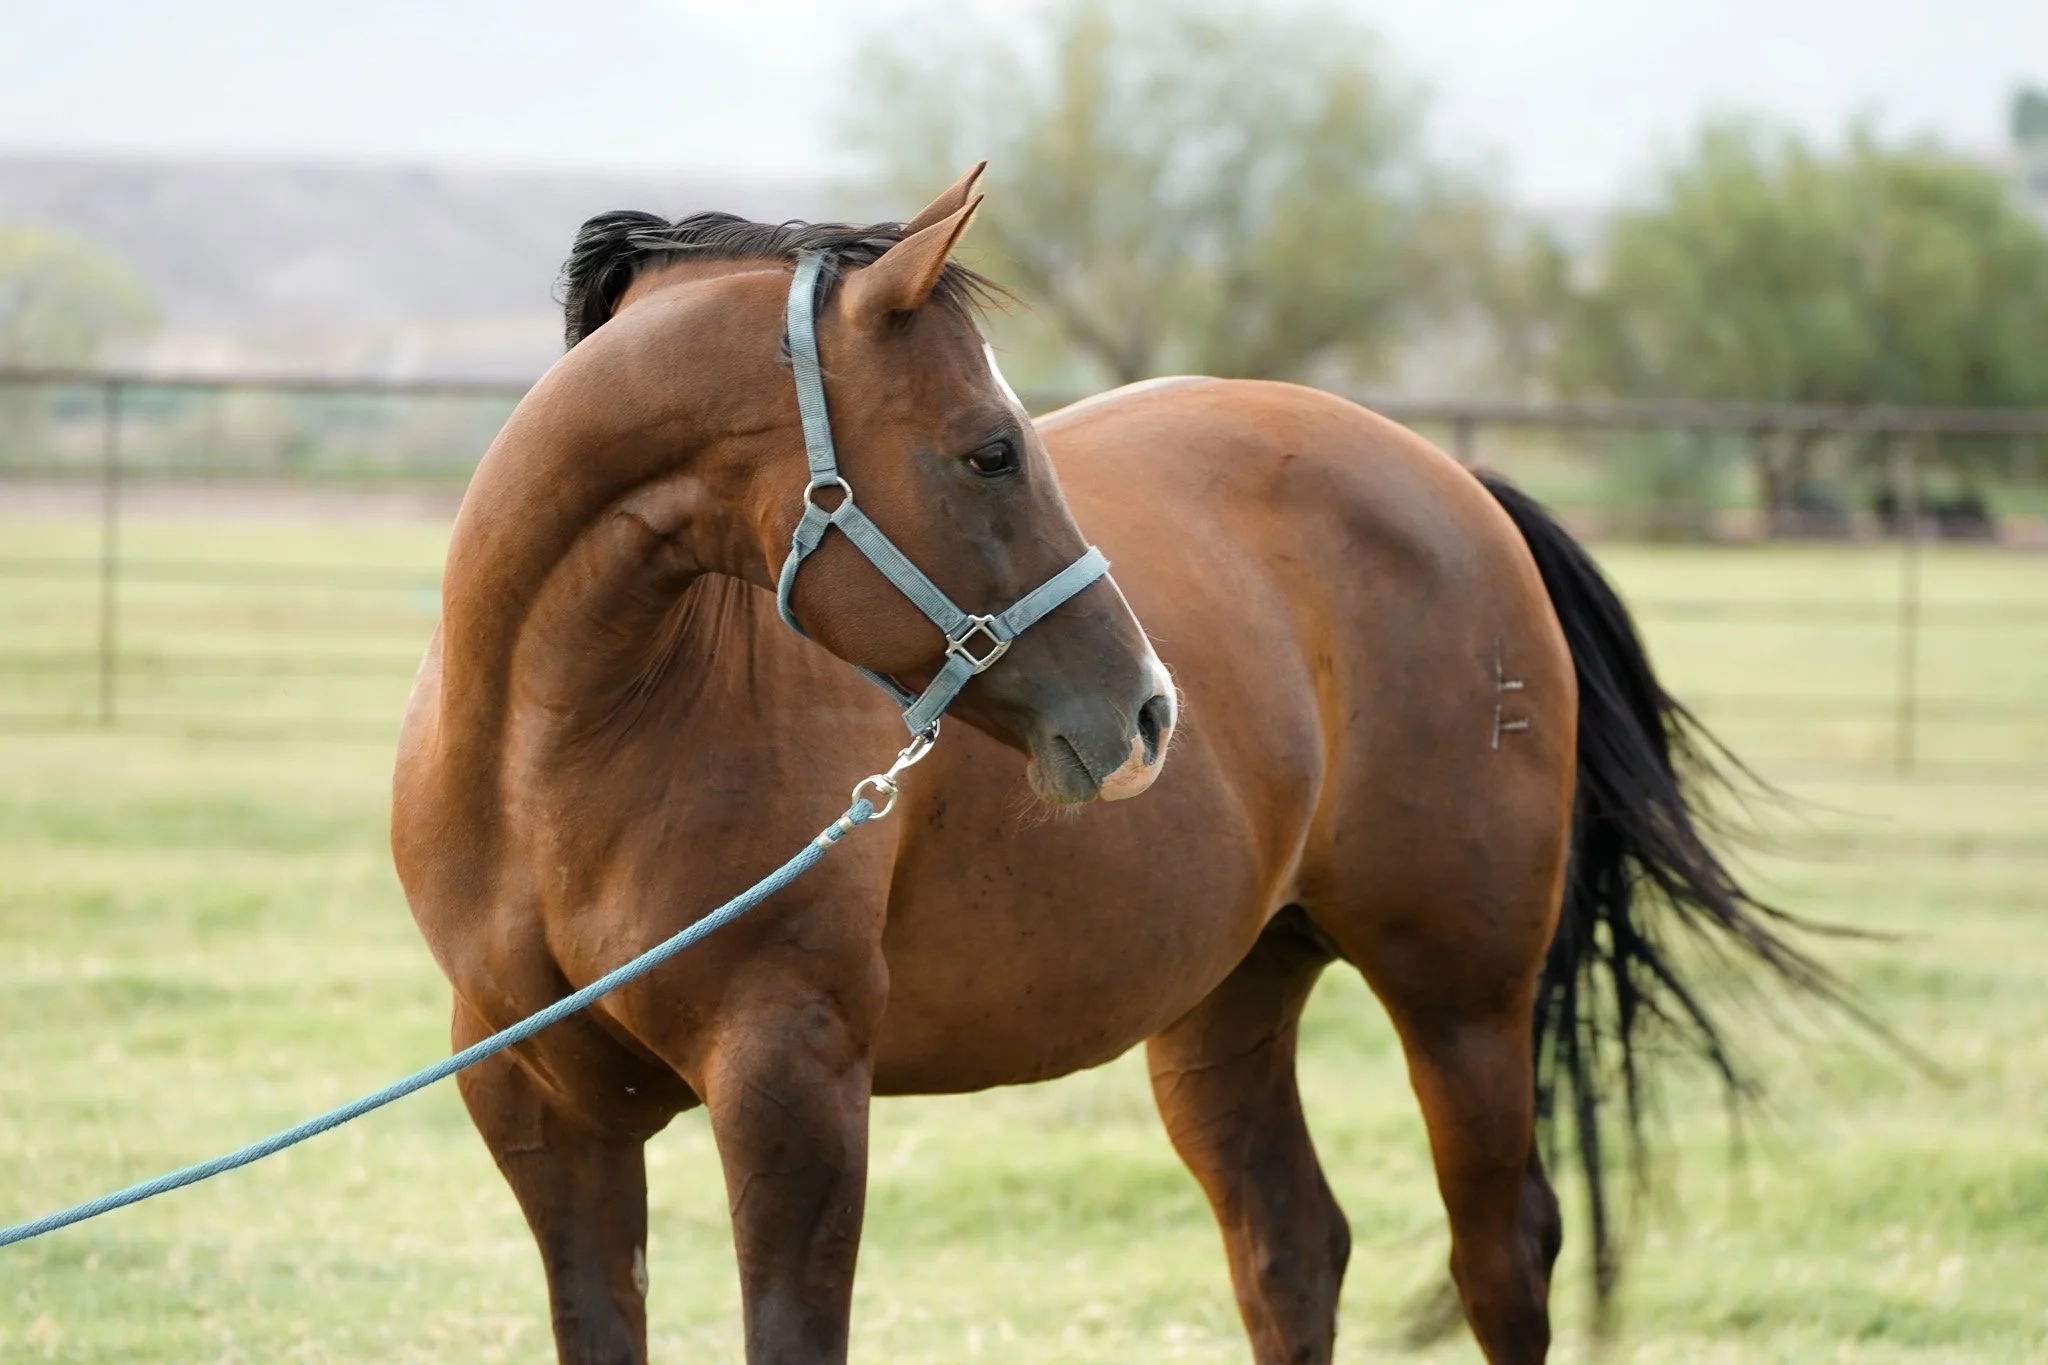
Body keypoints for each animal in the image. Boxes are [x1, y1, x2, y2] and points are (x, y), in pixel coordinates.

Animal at [392, 166, 1823, 1364]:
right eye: (989, 447)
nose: (1143, 713)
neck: (558, 760)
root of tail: (1454, 481)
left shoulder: (791, 1089)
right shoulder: (542, 1116)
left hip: (1461, 1000)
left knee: (1501, 1257)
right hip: (1230, 1002)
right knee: (1290, 1251)